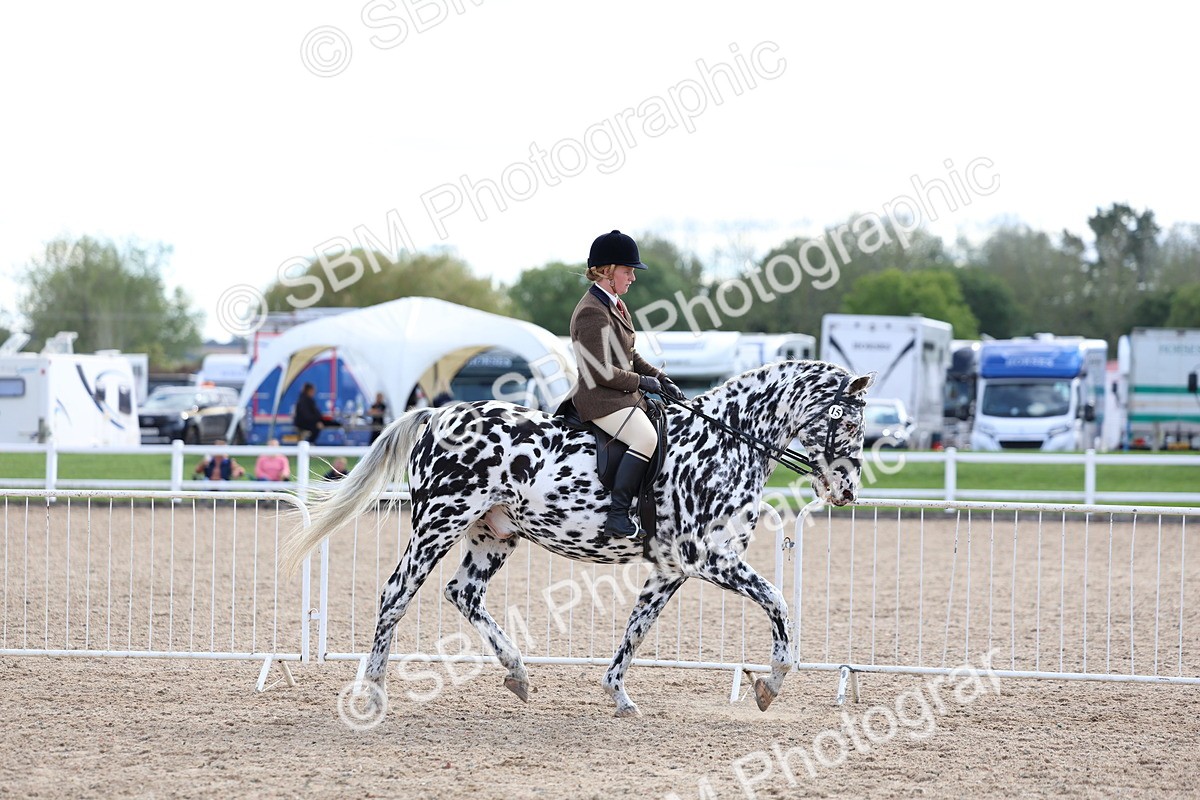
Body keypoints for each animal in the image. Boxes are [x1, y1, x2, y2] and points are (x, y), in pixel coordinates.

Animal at [282, 360, 874, 716]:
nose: (847, 491)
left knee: (462, 593)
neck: (725, 442)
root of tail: (437, 413)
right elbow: (777, 602)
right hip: (439, 522)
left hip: (494, 534)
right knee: (395, 595)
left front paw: (619, 696)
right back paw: (375, 693)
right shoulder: (709, 558)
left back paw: (518, 674)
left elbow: (637, 629)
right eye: (848, 423)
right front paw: (771, 683)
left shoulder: (671, 569)